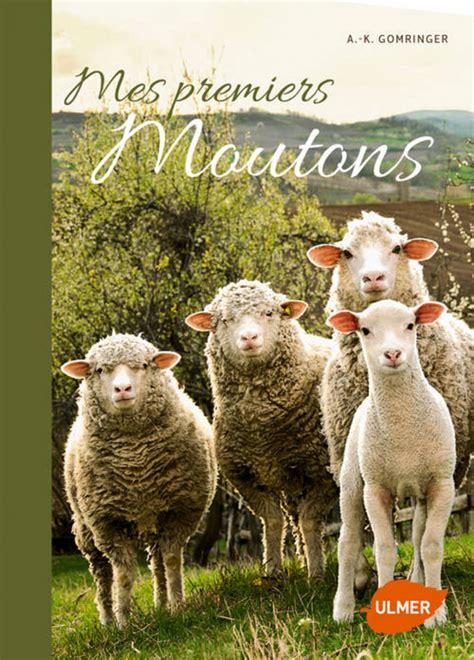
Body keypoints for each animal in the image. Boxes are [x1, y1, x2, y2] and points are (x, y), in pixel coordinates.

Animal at [61, 333, 217, 627]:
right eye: (100, 370)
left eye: (144, 365)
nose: (122, 389)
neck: (137, 465)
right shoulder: (107, 523)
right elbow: (122, 574)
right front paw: (124, 622)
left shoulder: (179, 512)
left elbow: (171, 562)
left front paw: (178, 607)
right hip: (86, 527)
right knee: (101, 573)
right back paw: (107, 619)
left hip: (155, 521)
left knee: (156, 563)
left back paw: (161, 604)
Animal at [186, 279, 338, 578]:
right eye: (225, 320)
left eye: (269, 313)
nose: (249, 338)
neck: (262, 427)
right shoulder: (246, 478)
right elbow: (273, 521)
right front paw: (273, 572)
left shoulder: (322, 474)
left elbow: (311, 520)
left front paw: (317, 575)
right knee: (294, 518)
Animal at [329, 300, 455, 627]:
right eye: (365, 330)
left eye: (410, 325)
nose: (393, 354)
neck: (402, 428)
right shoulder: (375, 490)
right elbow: (384, 549)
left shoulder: (442, 484)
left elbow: (430, 547)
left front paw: (435, 615)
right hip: (352, 482)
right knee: (347, 542)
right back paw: (343, 608)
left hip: (418, 494)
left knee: (417, 535)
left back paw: (416, 582)